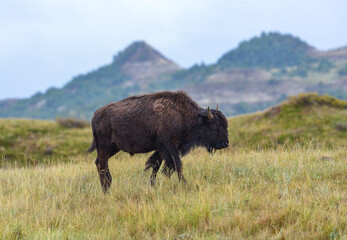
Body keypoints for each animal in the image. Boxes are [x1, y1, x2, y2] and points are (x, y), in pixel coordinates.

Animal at [87, 91, 230, 192]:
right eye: (214, 125)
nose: (226, 143)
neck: (182, 115)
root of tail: (95, 114)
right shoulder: (170, 146)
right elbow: (178, 165)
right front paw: (184, 184)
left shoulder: (161, 148)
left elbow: (155, 166)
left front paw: (152, 185)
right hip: (104, 146)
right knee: (102, 164)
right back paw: (106, 189)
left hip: (113, 148)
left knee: (99, 163)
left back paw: (108, 186)